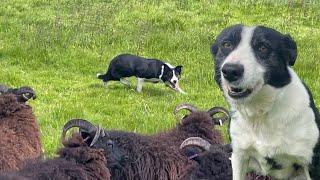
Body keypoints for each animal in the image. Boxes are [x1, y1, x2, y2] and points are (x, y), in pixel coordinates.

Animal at [211, 24, 318, 179]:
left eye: (263, 47)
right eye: (226, 44)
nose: (231, 71)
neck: (262, 112)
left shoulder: (312, 161)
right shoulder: (239, 155)